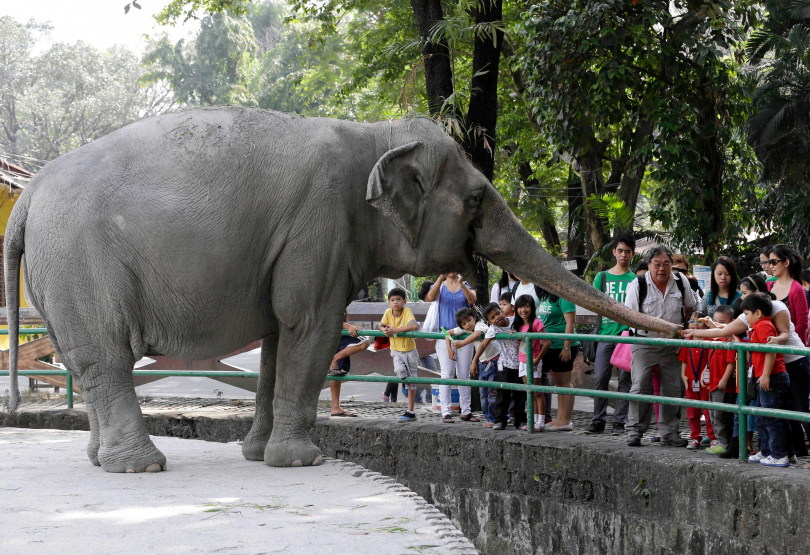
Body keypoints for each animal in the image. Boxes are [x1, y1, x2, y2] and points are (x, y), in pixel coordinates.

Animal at [4, 107, 676, 474]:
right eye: (475, 199)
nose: (685, 328)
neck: (374, 136)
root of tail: (28, 194)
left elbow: (279, 337)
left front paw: (259, 455)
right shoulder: (319, 224)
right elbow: (311, 326)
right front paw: (302, 461)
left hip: (59, 272)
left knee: (86, 360)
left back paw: (102, 459)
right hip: (81, 262)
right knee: (105, 357)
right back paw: (141, 466)